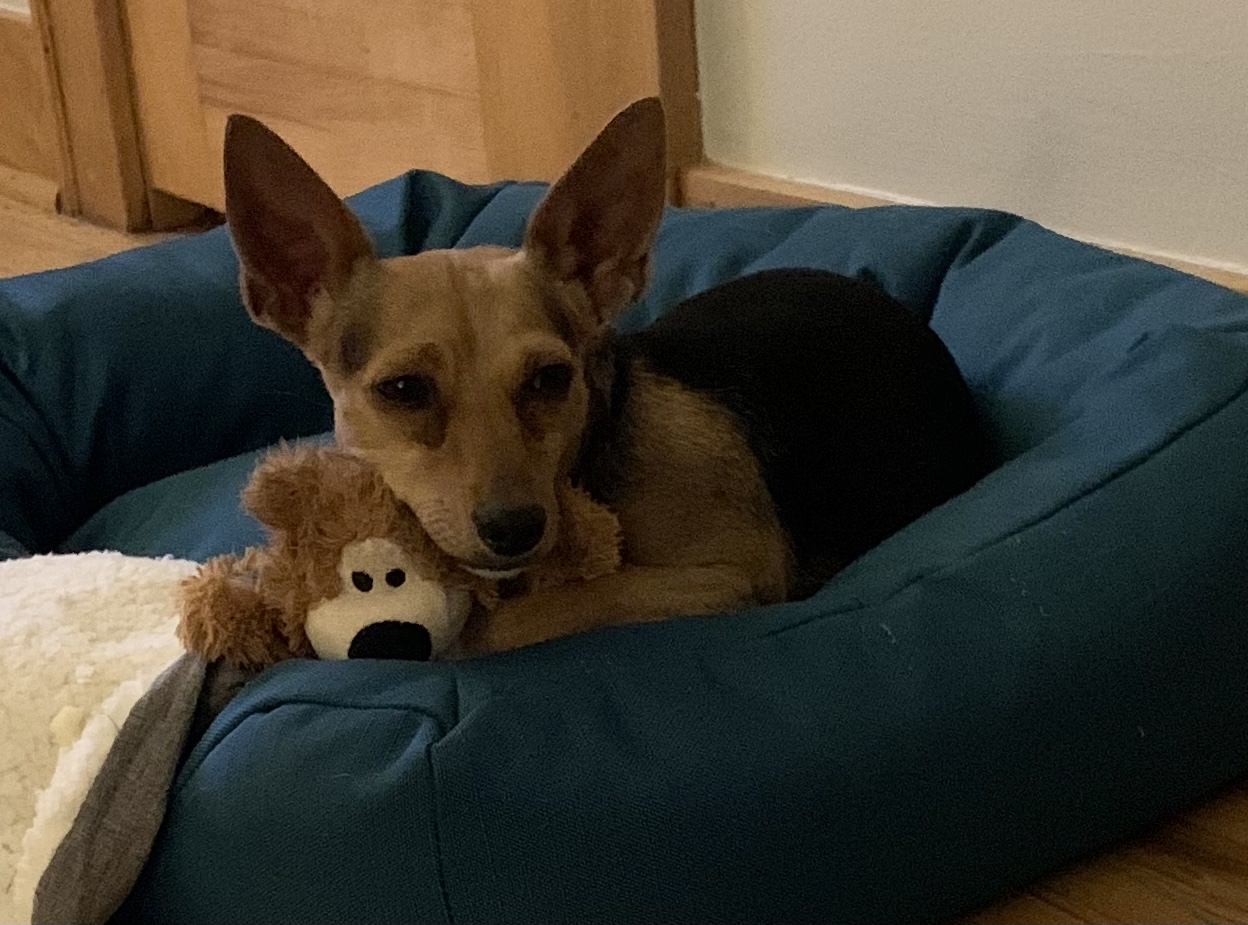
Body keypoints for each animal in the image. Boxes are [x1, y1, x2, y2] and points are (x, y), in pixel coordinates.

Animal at [222, 97, 983, 654]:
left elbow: (522, 618)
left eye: (550, 380)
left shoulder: (731, 578)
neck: (592, 452)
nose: (515, 528)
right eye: (403, 391)